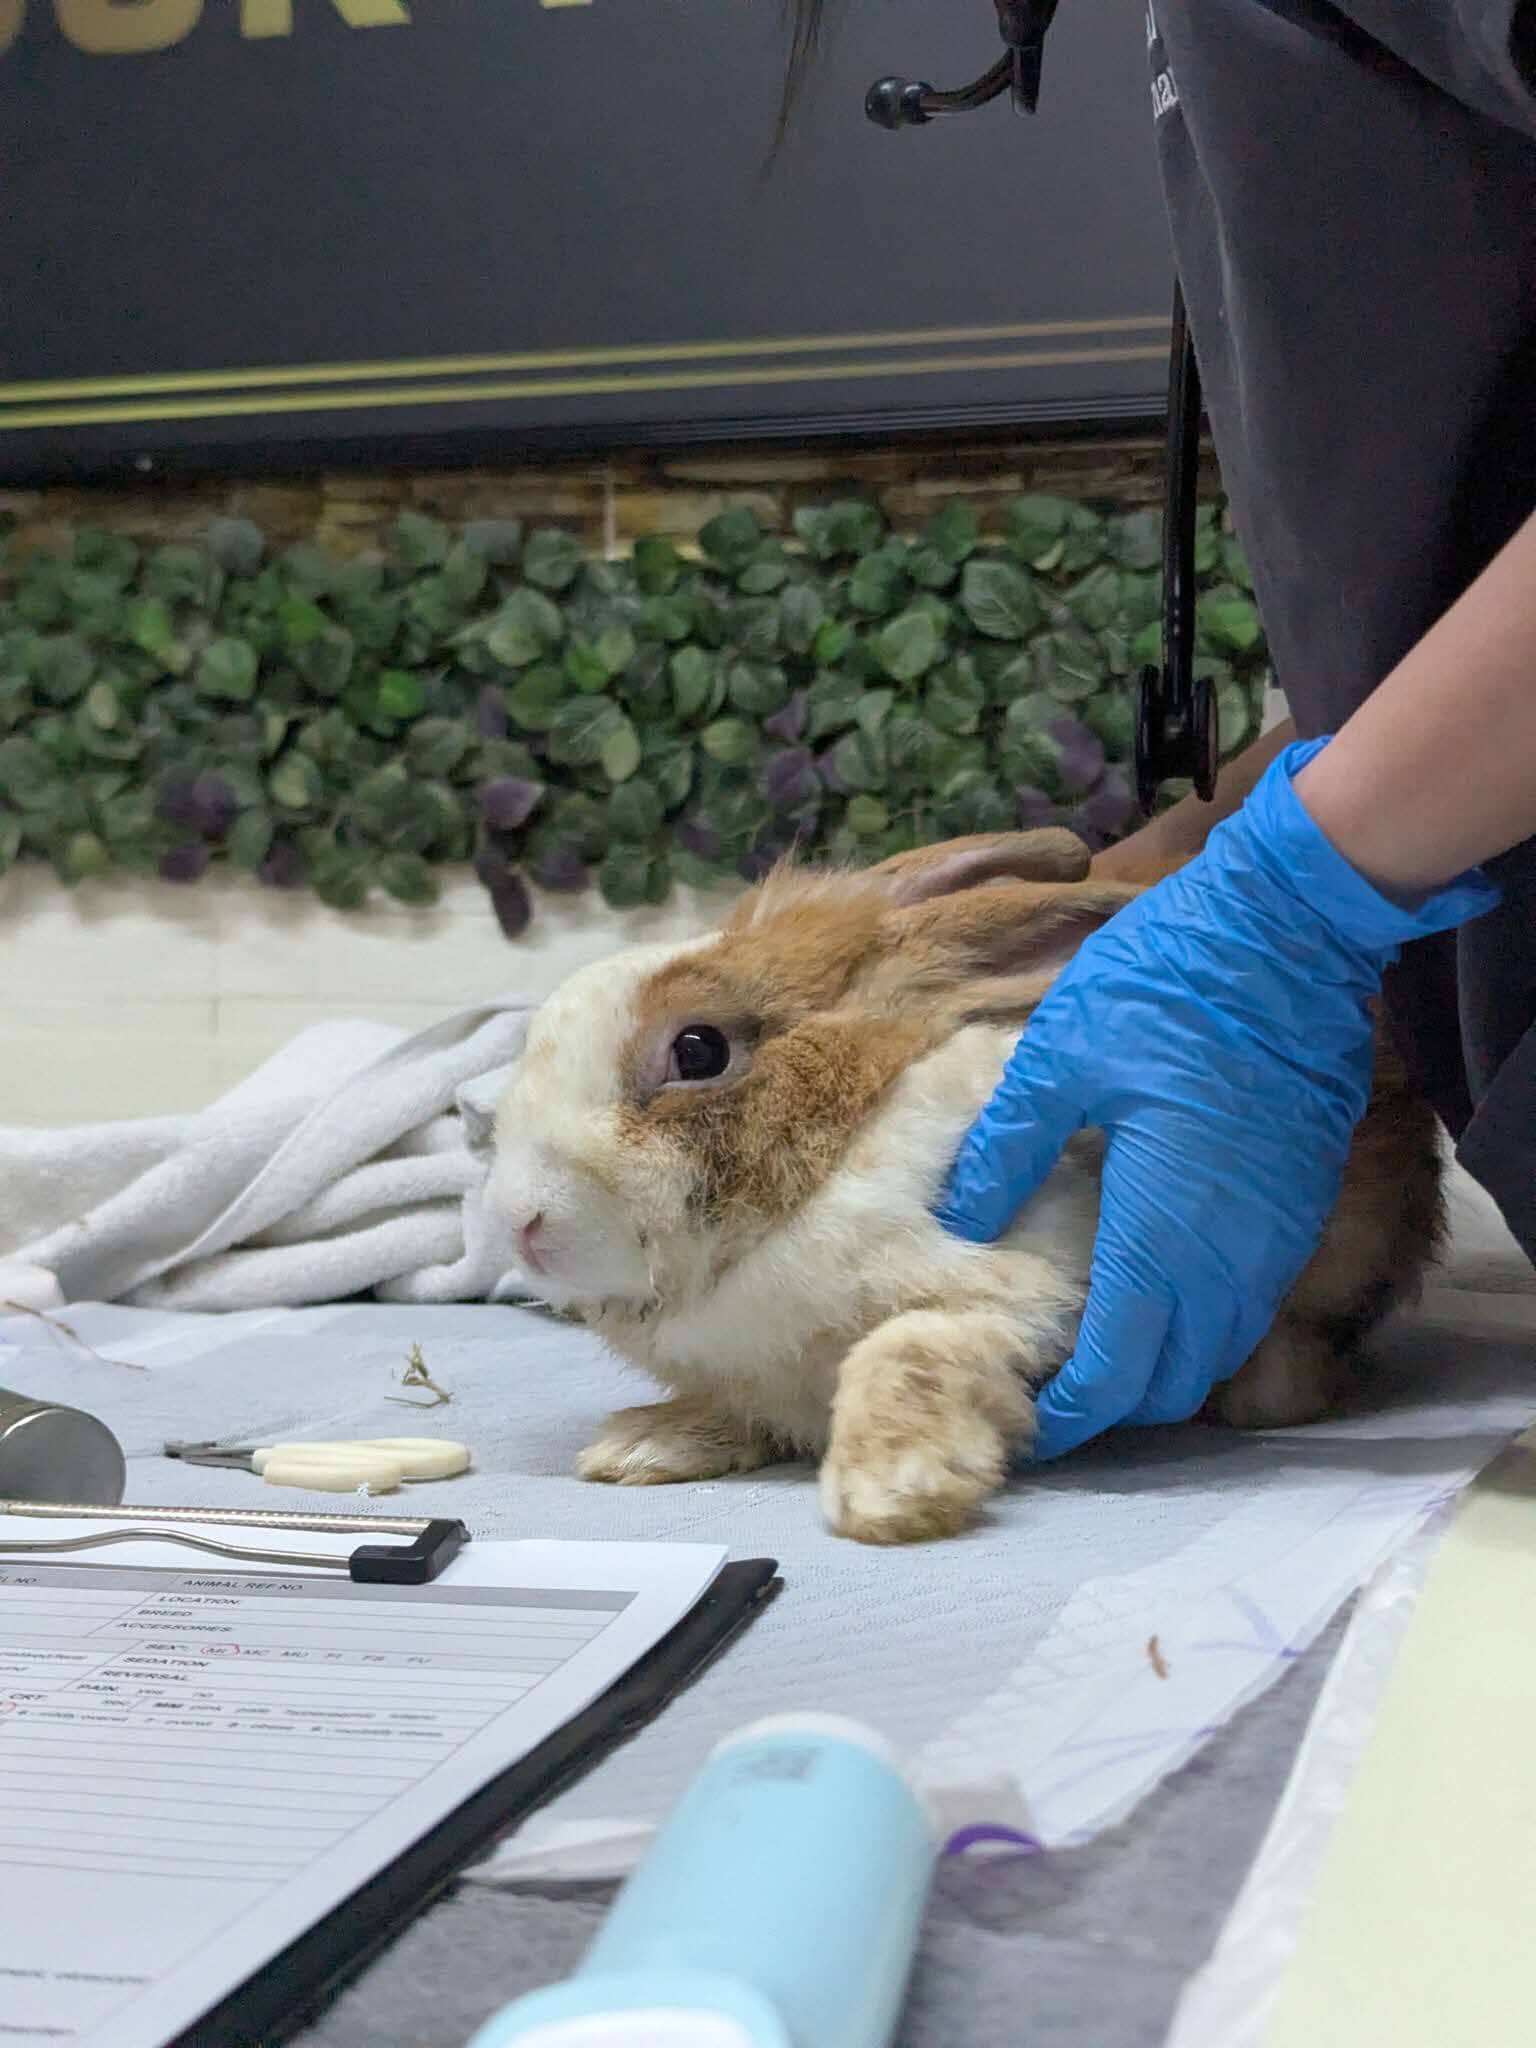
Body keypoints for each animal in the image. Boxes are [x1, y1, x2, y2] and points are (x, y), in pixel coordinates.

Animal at [489, 830, 1443, 1544]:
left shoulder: (1048, 1291)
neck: (826, 1170)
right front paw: (642, 1447)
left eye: (698, 1050)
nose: (518, 1221)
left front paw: (893, 1490)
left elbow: (908, 1348)